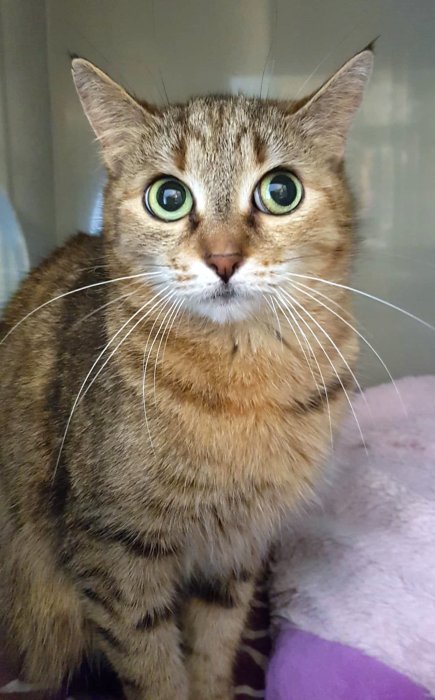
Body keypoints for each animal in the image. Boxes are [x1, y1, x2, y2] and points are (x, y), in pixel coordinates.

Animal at [0, 46, 373, 700]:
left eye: (281, 190)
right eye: (168, 198)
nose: (223, 259)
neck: (241, 382)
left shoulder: (237, 550)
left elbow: (214, 648)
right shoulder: (114, 552)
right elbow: (153, 666)